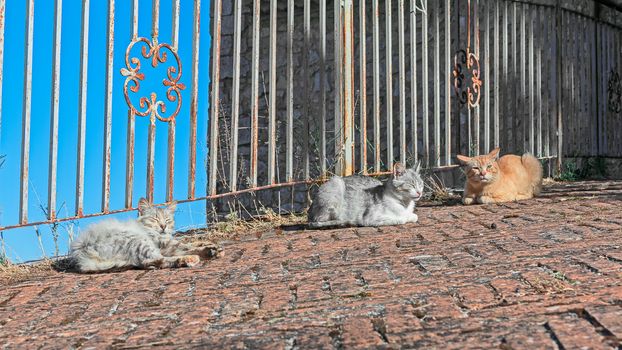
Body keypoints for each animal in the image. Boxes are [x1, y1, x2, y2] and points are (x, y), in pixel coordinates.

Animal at [70, 198, 222, 272]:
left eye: (167, 220)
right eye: (155, 219)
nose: (163, 226)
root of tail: (83, 255)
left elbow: (190, 243)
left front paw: (207, 244)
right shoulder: (164, 243)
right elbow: (185, 245)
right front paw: (209, 248)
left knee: (150, 262)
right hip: (138, 241)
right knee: (157, 260)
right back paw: (190, 258)